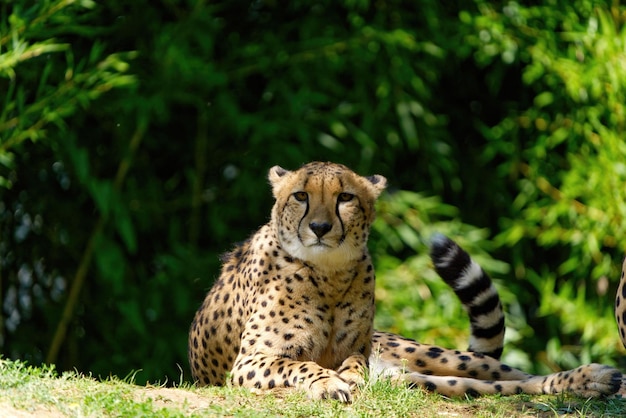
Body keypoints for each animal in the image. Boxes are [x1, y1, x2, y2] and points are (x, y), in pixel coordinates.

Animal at [188, 161, 620, 402]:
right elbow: (303, 365)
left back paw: (595, 379)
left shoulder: (358, 349)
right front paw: (329, 383)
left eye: (345, 197)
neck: (328, 274)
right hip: (419, 380)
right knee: (491, 388)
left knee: (514, 377)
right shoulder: (248, 363)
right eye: (300, 196)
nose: (320, 227)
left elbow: (352, 362)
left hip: (435, 358)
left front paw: (347, 377)